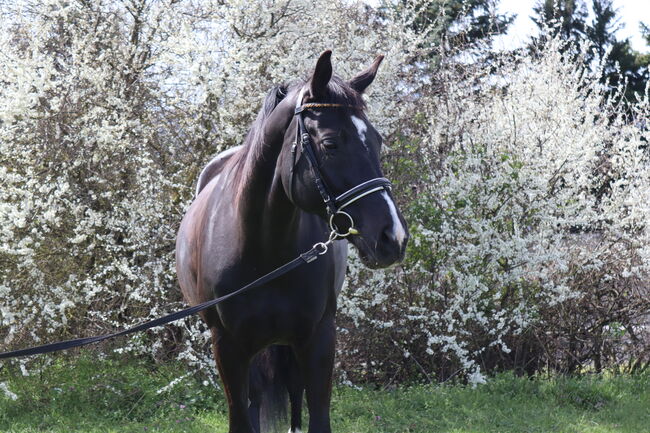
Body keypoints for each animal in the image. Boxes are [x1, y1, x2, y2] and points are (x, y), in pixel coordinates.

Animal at [172, 51, 404, 432]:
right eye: (330, 144)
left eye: (377, 141)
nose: (393, 236)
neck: (263, 250)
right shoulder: (228, 347)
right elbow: (241, 417)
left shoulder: (319, 339)